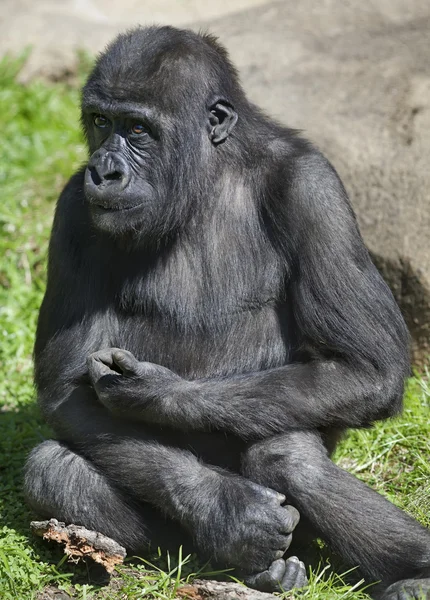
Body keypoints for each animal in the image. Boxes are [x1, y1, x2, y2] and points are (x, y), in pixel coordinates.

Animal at [25, 25, 430, 596]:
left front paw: (156, 393)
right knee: (53, 470)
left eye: (138, 129)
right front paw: (230, 514)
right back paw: (237, 558)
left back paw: (414, 571)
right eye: (101, 122)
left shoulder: (313, 188)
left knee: (288, 457)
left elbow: (367, 368)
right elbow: (68, 391)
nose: (104, 171)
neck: (207, 175)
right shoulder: (73, 213)